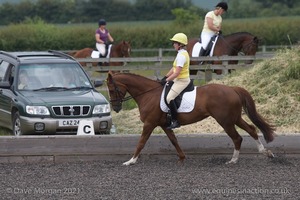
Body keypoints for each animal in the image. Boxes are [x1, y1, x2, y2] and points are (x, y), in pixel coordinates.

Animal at [106, 72, 276, 166]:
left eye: (112, 89)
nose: (115, 108)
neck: (148, 94)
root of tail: (232, 89)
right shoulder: (164, 125)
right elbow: (174, 141)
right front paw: (182, 158)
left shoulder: (149, 124)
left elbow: (141, 142)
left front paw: (131, 161)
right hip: (234, 118)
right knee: (251, 130)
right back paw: (265, 152)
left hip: (225, 121)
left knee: (237, 138)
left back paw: (233, 160)